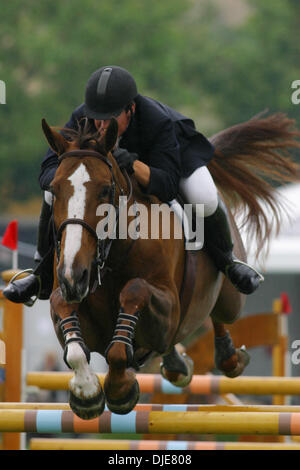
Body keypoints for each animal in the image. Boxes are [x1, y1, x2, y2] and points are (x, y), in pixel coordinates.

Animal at [42, 113, 300, 418]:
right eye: (54, 190)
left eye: (105, 190)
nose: (74, 275)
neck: (113, 256)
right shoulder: (68, 294)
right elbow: (68, 324)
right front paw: (87, 391)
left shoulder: (168, 310)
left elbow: (134, 295)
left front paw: (120, 389)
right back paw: (178, 364)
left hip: (230, 299)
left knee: (220, 312)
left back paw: (228, 354)